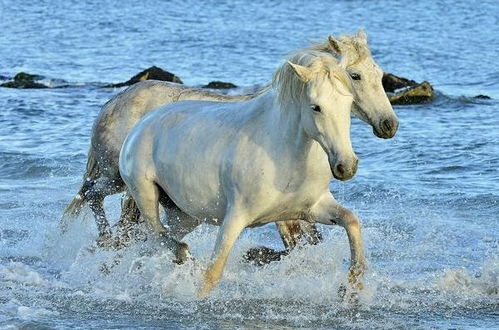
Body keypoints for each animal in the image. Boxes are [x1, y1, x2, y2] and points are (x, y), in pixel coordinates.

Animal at [61, 31, 398, 253]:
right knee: (90, 195)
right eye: (355, 75)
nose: (389, 124)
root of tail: (114, 101)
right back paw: (104, 238)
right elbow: (298, 243)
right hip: (115, 176)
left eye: (379, 73)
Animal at [119, 47, 366, 296]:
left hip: (185, 216)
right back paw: (182, 256)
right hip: (146, 195)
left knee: (150, 243)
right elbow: (212, 274)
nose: (346, 166)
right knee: (157, 234)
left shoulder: (312, 208)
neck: (285, 156)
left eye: (349, 104)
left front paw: (353, 287)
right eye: (316, 107)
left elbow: (352, 221)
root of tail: (139, 128)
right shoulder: (235, 217)